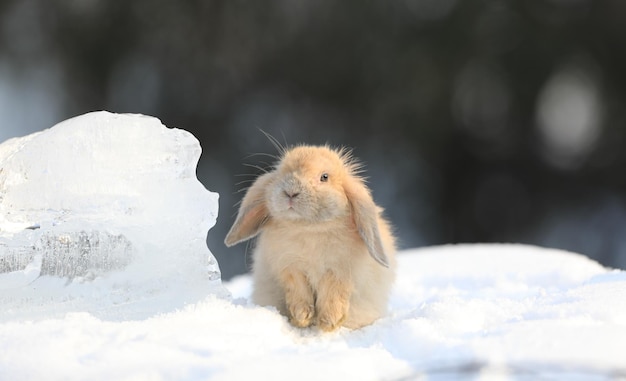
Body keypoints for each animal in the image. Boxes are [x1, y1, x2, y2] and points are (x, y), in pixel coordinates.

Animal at [225, 145, 394, 330]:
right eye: (283, 172)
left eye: (324, 177)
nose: (291, 192)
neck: (309, 229)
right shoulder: (290, 268)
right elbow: (298, 291)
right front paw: (302, 317)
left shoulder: (339, 272)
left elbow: (333, 293)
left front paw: (328, 322)